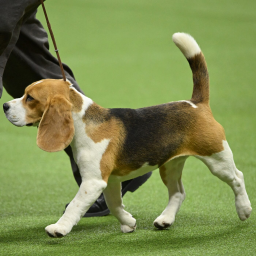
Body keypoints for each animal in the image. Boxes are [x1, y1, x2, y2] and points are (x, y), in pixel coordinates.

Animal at [3, 32, 251, 238]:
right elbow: (114, 205)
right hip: (170, 164)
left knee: (237, 177)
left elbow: (75, 206)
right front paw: (129, 223)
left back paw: (244, 209)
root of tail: (196, 103)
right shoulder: (110, 181)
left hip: (216, 155)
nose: (4, 106)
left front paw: (59, 228)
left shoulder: (93, 181)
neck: (83, 122)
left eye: (30, 98)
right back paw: (165, 219)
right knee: (178, 192)